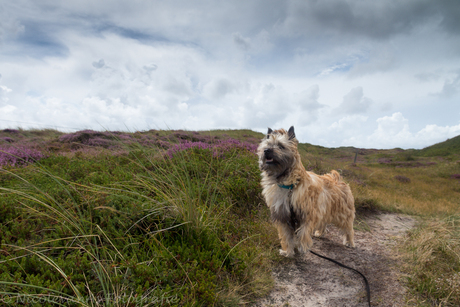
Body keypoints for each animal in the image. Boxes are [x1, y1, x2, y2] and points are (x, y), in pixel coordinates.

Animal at [258, 126, 356, 258]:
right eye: (267, 144)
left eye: (281, 146)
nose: (266, 150)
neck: (289, 185)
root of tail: (338, 179)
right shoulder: (283, 217)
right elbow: (287, 237)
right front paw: (288, 252)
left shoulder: (306, 215)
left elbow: (302, 234)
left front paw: (301, 248)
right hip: (325, 209)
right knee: (324, 222)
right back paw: (320, 232)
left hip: (343, 213)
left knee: (349, 228)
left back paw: (350, 242)